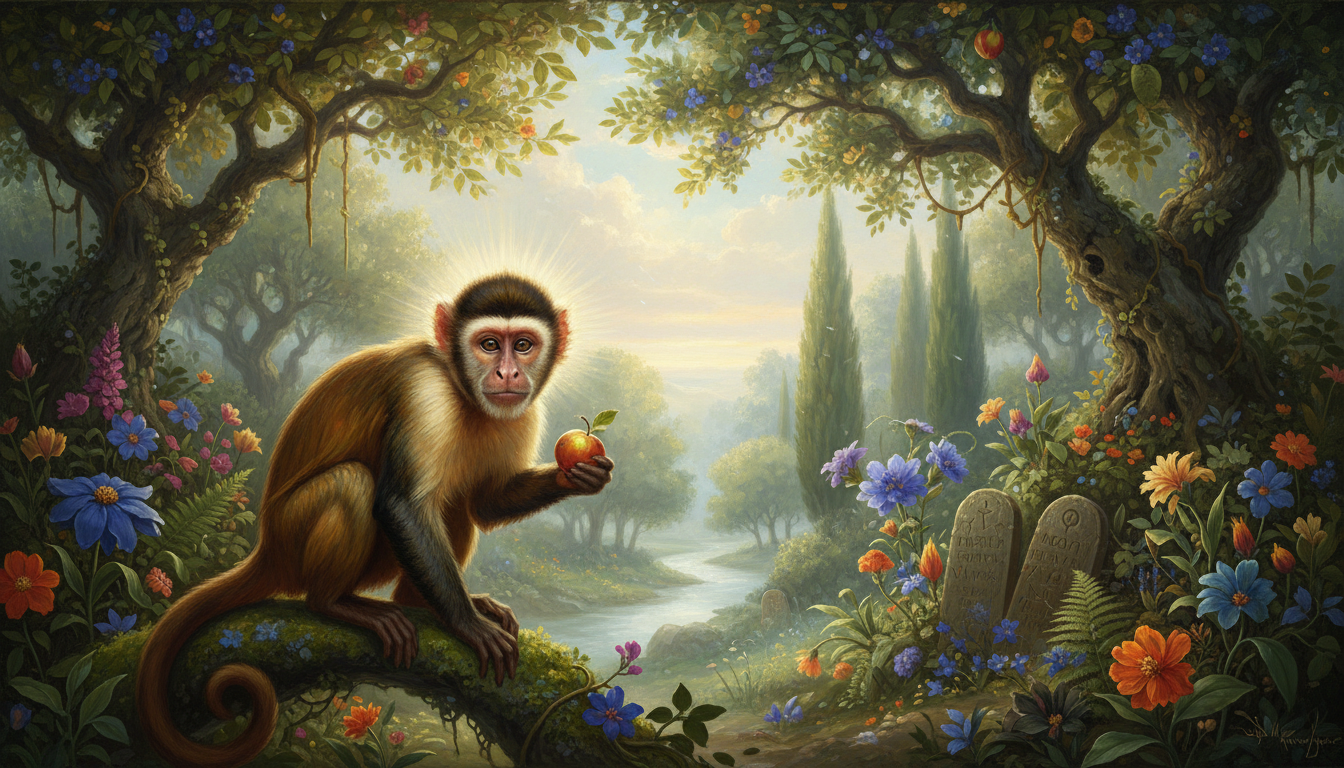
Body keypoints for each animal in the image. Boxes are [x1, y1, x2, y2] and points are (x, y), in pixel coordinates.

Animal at [135, 273, 614, 768]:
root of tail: (267, 546)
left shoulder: (525, 408)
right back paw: (332, 603)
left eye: (522, 345)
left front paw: (576, 477)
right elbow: (400, 504)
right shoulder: (425, 390)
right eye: (487, 344)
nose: (507, 373)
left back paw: (415, 601)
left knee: (452, 502)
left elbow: (486, 502)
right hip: (293, 534)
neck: (459, 387)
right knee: (355, 483)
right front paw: (467, 623)